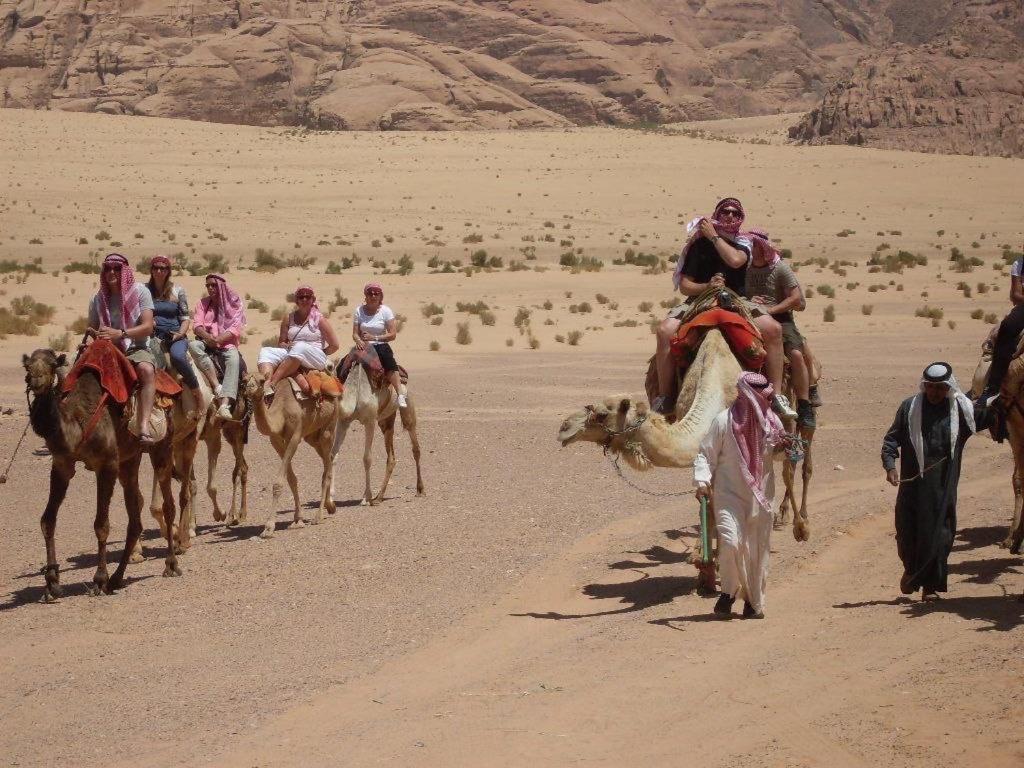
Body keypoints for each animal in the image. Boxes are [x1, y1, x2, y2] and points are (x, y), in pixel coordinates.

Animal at [21, 348, 180, 602]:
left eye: (53, 364)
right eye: (27, 366)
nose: (36, 380)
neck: (77, 423)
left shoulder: (106, 465)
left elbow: (101, 524)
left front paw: (99, 580)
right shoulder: (62, 464)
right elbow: (47, 520)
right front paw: (52, 583)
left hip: (162, 446)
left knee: (168, 504)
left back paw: (170, 565)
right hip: (129, 459)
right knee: (135, 519)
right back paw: (117, 578)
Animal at [238, 374, 335, 540]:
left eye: (262, 381)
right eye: (244, 381)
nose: (249, 389)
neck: (281, 412)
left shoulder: (295, 436)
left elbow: (278, 483)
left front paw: (268, 528)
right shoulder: (275, 440)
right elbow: (291, 479)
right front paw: (297, 519)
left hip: (328, 428)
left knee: (327, 469)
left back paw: (318, 516)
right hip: (312, 436)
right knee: (326, 460)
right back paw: (330, 506)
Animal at [327, 364, 423, 507]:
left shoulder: (370, 421)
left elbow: (367, 458)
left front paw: (367, 497)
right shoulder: (344, 421)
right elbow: (333, 455)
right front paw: (330, 498)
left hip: (406, 405)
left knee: (415, 445)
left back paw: (420, 490)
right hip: (386, 420)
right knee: (391, 457)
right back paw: (379, 497)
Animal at [655, 195, 790, 417]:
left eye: (733, 212)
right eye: (726, 211)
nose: (729, 216)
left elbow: (737, 258)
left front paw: (710, 230)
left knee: (773, 332)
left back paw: (781, 402)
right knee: (665, 331)